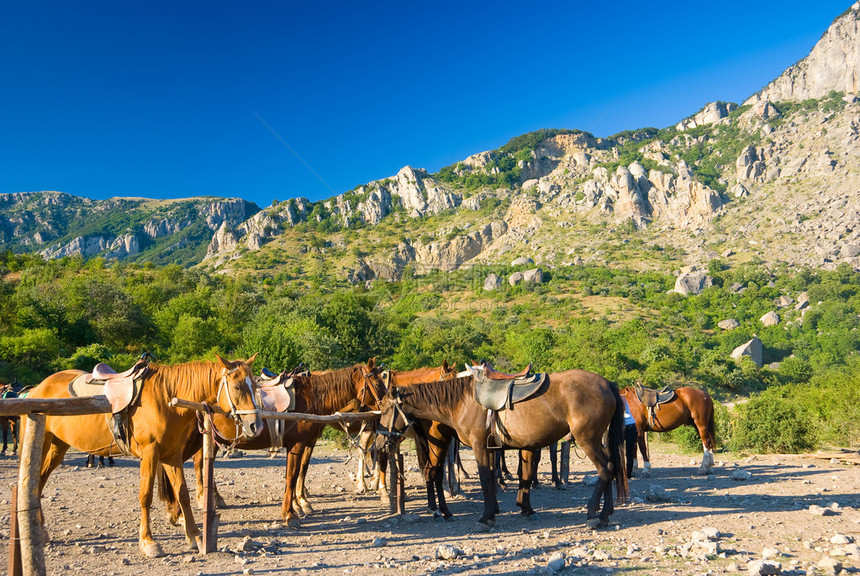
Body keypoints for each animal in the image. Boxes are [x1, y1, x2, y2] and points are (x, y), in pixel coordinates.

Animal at [26, 354, 262, 556]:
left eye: (256, 386)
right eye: (237, 386)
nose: (255, 426)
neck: (166, 399)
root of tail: (37, 388)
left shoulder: (172, 456)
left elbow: (182, 494)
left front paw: (195, 536)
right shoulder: (150, 454)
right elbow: (146, 496)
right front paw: (148, 542)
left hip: (58, 447)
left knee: (41, 480)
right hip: (44, 442)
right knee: (36, 481)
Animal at [380, 372, 628, 528]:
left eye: (384, 408)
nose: (382, 439)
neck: (461, 401)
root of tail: (606, 383)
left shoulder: (480, 446)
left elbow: (486, 480)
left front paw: (486, 518)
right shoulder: (495, 449)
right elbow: (503, 478)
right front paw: (507, 511)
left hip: (588, 439)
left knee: (606, 469)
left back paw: (595, 514)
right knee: (611, 468)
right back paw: (605, 513)